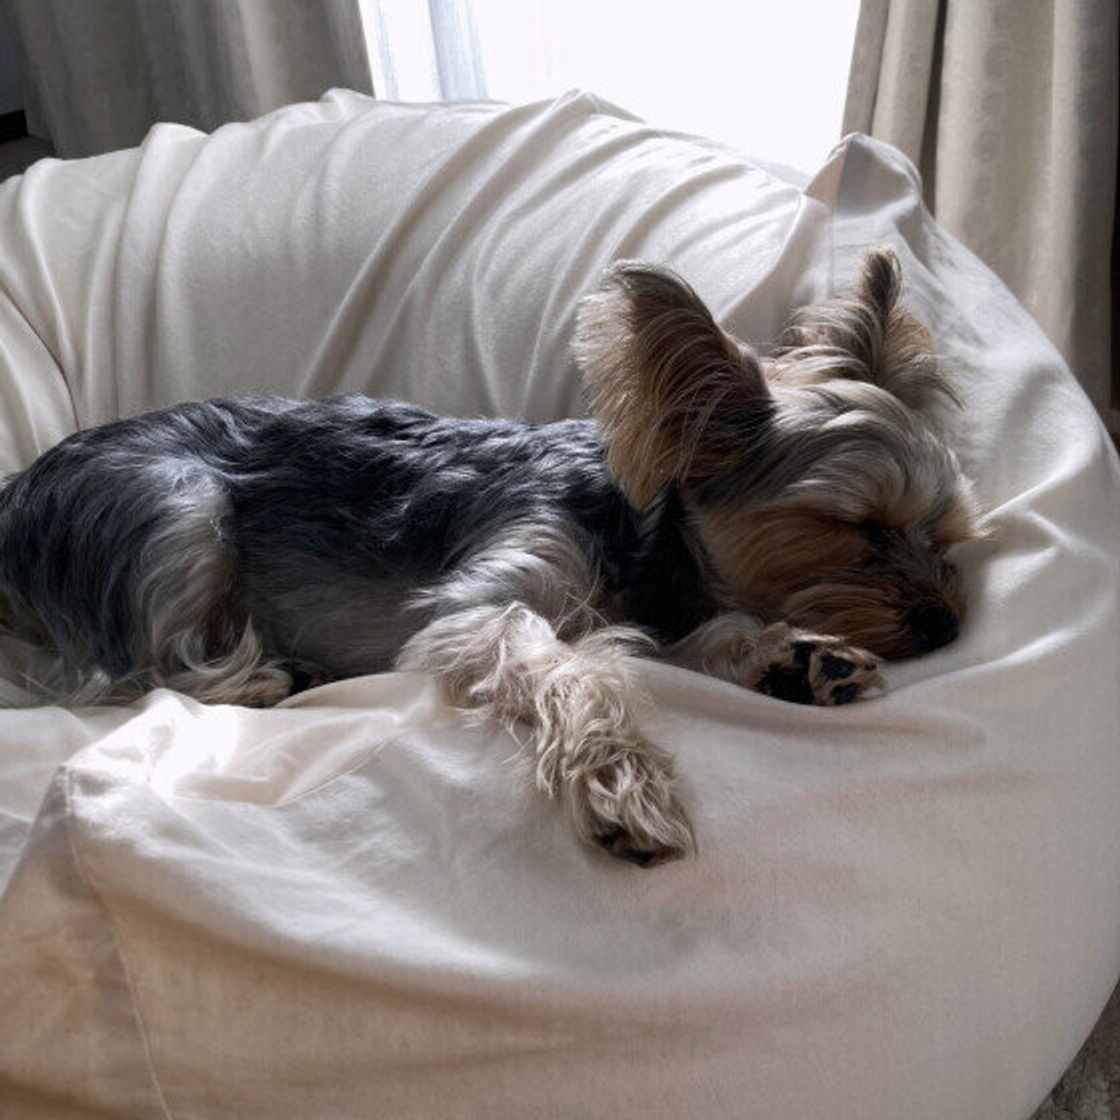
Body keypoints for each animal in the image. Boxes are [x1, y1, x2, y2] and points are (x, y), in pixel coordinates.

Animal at [0, 249, 981, 864]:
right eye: (855, 527)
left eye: (943, 533)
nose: (947, 622)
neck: (648, 543)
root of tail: (11, 494)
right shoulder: (487, 597)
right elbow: (568, 664)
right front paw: (621, 784)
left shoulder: (665, 607)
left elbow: (698, 635)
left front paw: (795, 657)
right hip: (173, 509)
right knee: (124, 671)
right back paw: (265, 676)